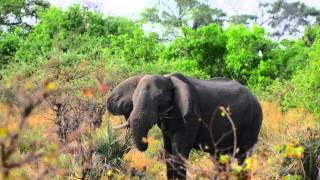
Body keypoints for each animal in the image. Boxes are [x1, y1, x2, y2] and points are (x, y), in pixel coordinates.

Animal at [106, 72, 262, 179]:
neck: (167, 78)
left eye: (159, 100)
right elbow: (168, 153)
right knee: (221, 158)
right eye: (133, 100)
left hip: (253, 121)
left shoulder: (190, 115)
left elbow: (179, 153)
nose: (145, 144)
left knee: (243, 156)